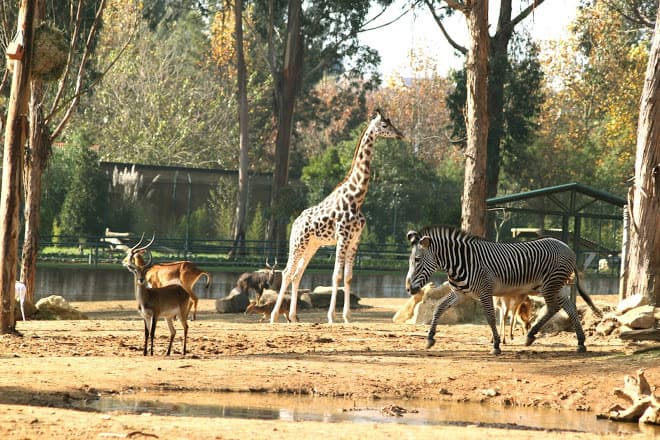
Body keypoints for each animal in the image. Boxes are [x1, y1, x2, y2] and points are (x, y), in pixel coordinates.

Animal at [270, 109, 404, 324]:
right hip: (298, 244)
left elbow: (348, 277)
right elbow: (336, 276)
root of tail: (295, 223)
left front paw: (347, 317)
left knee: (297, 274)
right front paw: (332, 316)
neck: (357, 198)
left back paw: (293, 317)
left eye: (392, 124)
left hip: (312, 246)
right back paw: (274, 316)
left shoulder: (355, 240)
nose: (400, 134)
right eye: (385, 125)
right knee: (286, 272)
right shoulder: (343, 238)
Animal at [402, 227, 604, 354]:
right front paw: (430, 338)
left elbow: (491, 317)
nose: (408, 289)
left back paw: (531, 335)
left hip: (550, 284)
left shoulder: (485, 291)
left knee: (554, 307)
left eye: (417, 260)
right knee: (569, 306)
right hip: (556, 286)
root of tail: (568, 248)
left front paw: (497, 345)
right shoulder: (460, 293)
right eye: (410, 260)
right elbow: (439, 308)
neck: (460, 262)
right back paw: (580, 342)